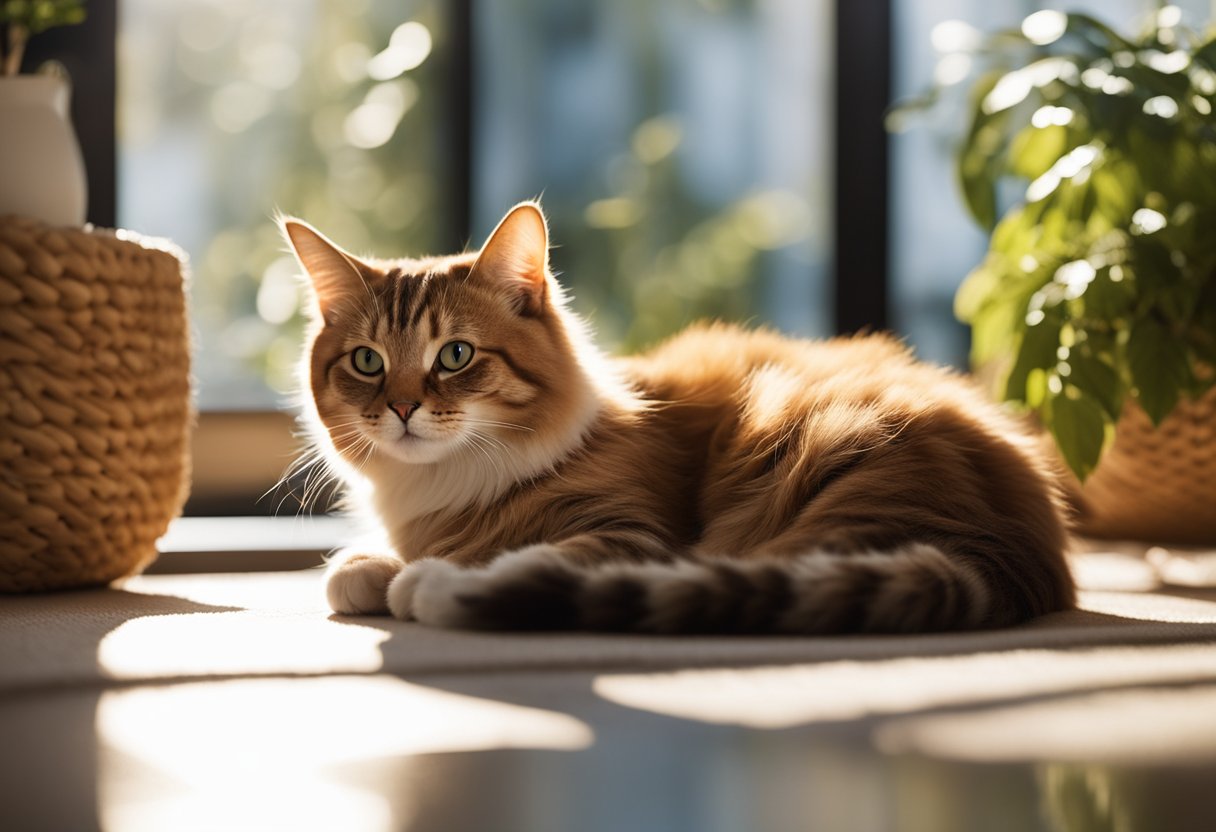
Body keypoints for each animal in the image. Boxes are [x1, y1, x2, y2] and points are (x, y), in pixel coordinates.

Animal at [279, 201, 1070, 632]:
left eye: (455, 355)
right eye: (368, 362)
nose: (402, 408)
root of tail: (1016, 553)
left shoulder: (636, 535)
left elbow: (519, 553)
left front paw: (424, 574)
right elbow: (350, 569)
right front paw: (377, 565)